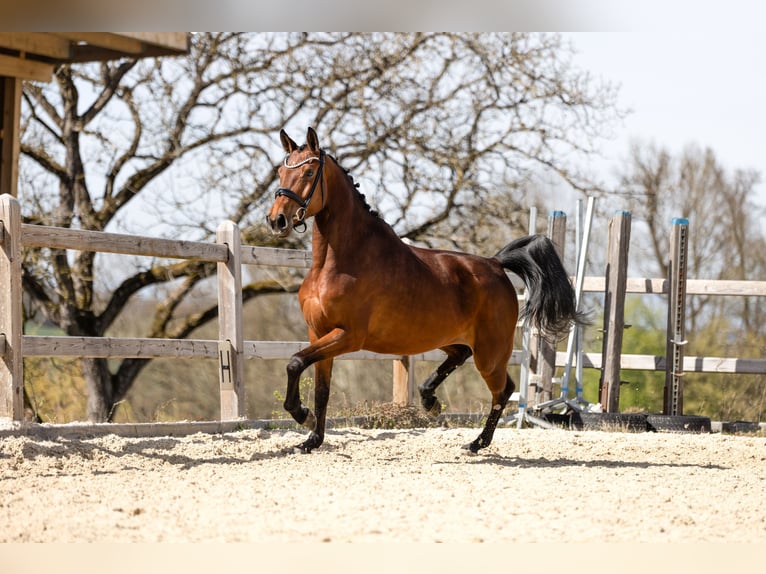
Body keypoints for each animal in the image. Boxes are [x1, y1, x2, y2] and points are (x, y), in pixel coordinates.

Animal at [267, 127, 581, 454]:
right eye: (281, 172)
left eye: (309, 172)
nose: (276, 220)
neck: (338, 262)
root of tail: (495, 264)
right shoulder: (318, 332)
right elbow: (320, 388)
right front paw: (311, 440)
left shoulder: (348, 336)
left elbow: (295, 362)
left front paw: (301, 414)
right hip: (444, 337)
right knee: (460, 356)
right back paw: (430, 400)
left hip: (490, 352)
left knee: (503, 389)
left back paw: (477, 442)